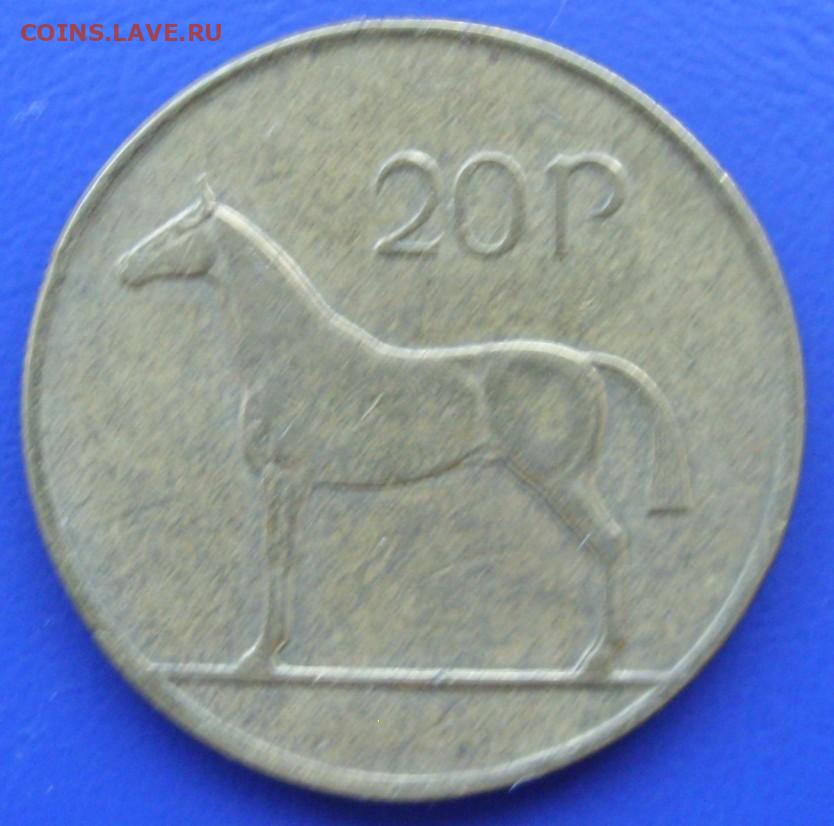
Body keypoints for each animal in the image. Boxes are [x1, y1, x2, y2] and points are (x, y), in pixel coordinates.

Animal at [117, 180, 692, 678]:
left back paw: (599, 660)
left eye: (177, 230)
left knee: (611, 542)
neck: (289, 354)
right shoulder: (290, 482)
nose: (125, 265)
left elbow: (278, 554)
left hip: (561, 480)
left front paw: (261, 655)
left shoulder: (286, 477)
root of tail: (586, 361)